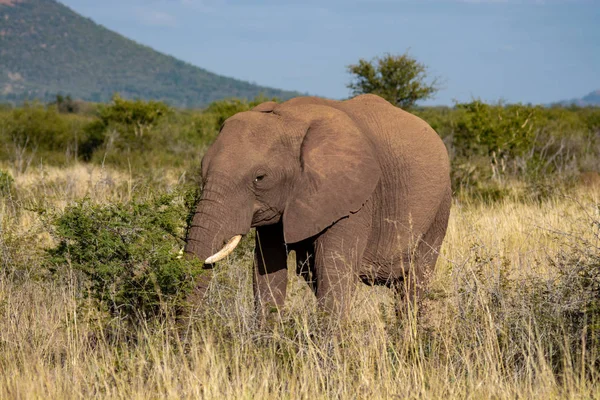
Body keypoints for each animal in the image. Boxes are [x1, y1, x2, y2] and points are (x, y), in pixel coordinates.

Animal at [183, 94, 450, 318]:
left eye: (260, 178)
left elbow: (334, 276)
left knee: (414, 283)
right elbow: (266, 272)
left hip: (440, 208)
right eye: (202, 169)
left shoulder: (354, 200)